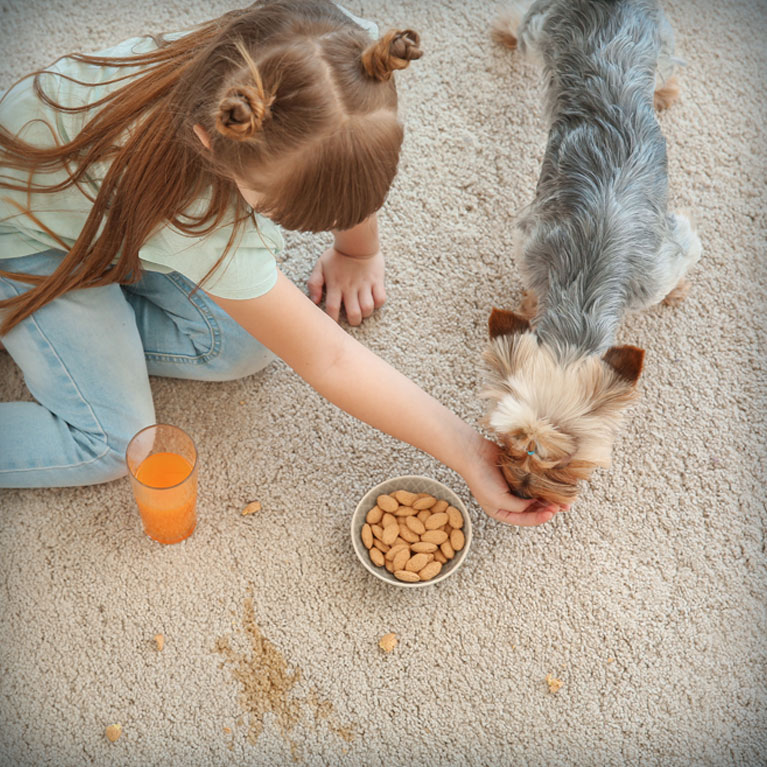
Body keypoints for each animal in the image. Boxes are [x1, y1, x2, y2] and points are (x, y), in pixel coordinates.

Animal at [486, 1, 704, 510]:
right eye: (511, 444)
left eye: (565, 462)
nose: (519, 489)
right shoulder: (531, 244)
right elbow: (532, 289)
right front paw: (530, 306)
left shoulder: (664, 260)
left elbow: (680, 264)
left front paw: (680, 291)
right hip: (543, 29)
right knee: (521, 27)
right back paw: (504, 31)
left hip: (657, 36)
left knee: (668, 65)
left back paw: (664, 92)